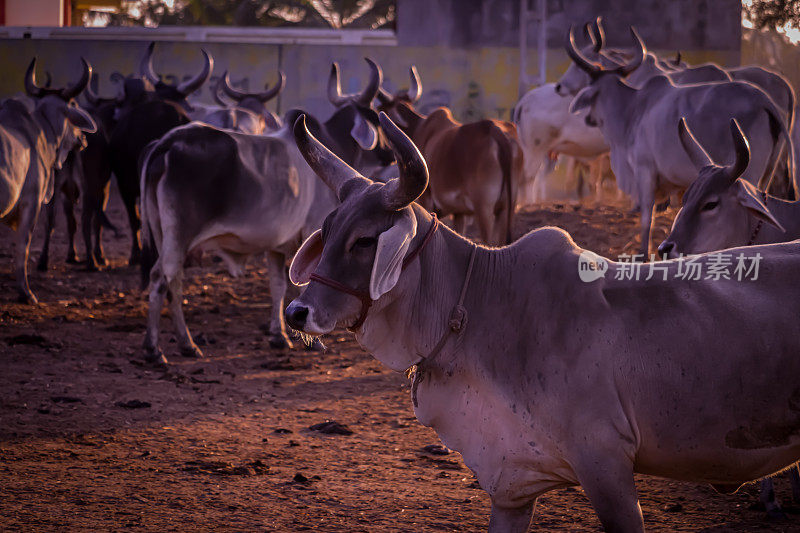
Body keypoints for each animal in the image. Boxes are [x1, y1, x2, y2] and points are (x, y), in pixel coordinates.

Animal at [376, 67, 520, 244]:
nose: (382, 151)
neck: (419, 128)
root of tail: (495, 130)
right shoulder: (459, 213)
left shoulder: (427, 201)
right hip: (507, 208)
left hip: (484, 209)